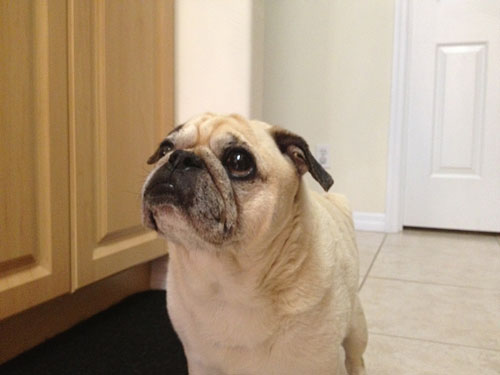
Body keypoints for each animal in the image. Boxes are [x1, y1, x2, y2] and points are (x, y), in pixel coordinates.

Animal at [141, 113, 368, 374]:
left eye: (239, 161)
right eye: (165, 148)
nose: (180, 157)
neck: (227, 282)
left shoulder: (321, 365)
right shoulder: (200, 363)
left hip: (357, 328)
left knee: (356, 358)